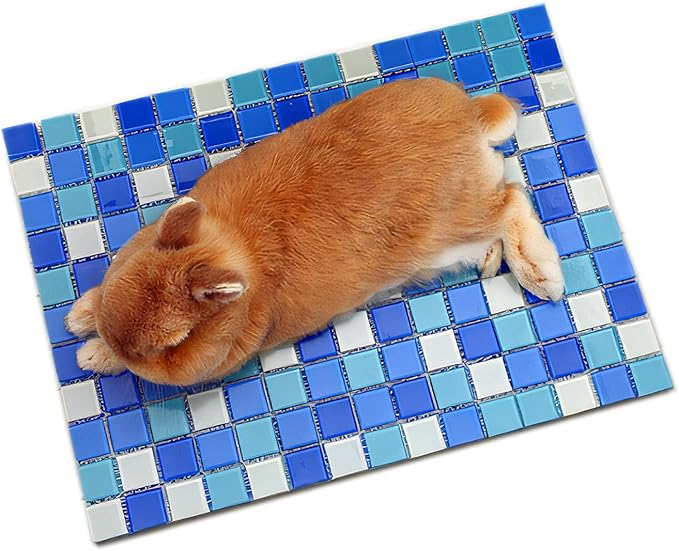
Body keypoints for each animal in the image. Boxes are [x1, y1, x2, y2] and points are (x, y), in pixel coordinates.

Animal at [65, 77, 564, 386]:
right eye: (127, 278)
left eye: (176, 342)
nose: (112, 340)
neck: (233, 246)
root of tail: (474, 116)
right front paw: (80, 318)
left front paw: (90, 356)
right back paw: (492, 262)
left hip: (456, 223)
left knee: (511, 201)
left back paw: (544, 277)